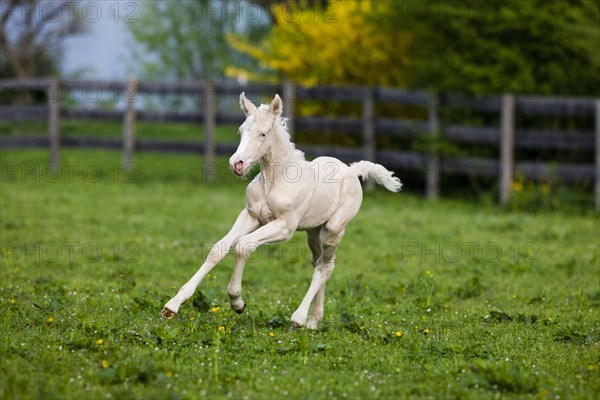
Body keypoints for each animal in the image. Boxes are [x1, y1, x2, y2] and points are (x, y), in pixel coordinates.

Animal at [162, 93, 400, 328]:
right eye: (240, 130)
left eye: (263, 133)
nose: (237, 164)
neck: (273, 180)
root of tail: (352, 171)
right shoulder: (250, 216)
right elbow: (218, 249)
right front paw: (173, 305)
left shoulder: (284, 227)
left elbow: (243, 246)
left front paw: (237, 302)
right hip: (314, 231)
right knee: (319, 262)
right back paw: (314, 320)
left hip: (334, 228)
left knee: (325, 267)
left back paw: (299, 319)